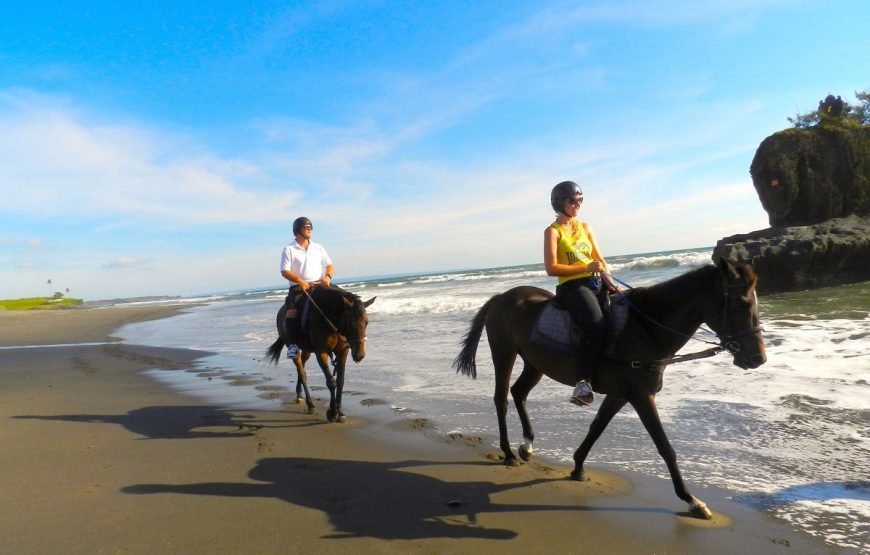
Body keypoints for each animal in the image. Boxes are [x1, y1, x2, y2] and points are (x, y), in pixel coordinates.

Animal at [266, 288, 374, 424]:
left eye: (367, 322)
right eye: (351, 323)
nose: (360, 355)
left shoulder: (342, 352)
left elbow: (340, 381)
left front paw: (340, 412)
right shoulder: (321, 353)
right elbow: (331, 382)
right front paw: (332, 413)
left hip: (307, 351)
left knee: (301, 368)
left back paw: (299, 395)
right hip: (293, 348)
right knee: (302, 373)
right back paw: (310, 404)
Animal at [454, 258, 768, 520]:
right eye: (742, 303)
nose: (758, 358)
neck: (645, 330)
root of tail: (501, 297)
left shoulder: (619, 395)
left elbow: (596, 428)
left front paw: (578, 468)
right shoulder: (641, 397)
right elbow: (665, 447)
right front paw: (692, 500)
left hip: (535, 363)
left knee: (518, 393)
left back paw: (527, 445)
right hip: (504, 353)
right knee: (501, 399)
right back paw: (508, 453)